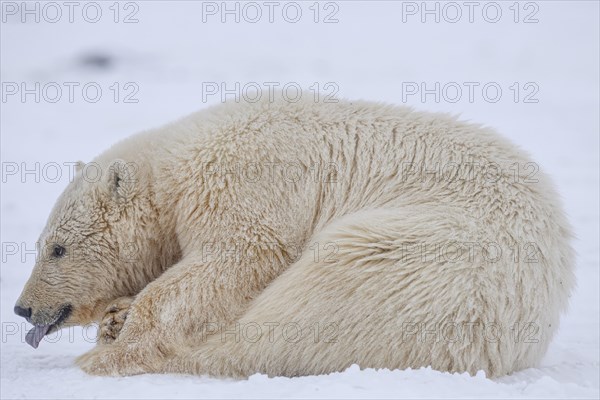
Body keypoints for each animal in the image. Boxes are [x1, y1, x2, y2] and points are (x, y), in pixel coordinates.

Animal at [14, 94, 576, 378]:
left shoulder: (244, 179)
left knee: (305, 308)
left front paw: (122, 337)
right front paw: (116, 316)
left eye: (57, 248)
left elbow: (236, 257)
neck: (176, 167)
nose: (22, 308)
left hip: (427, 259)